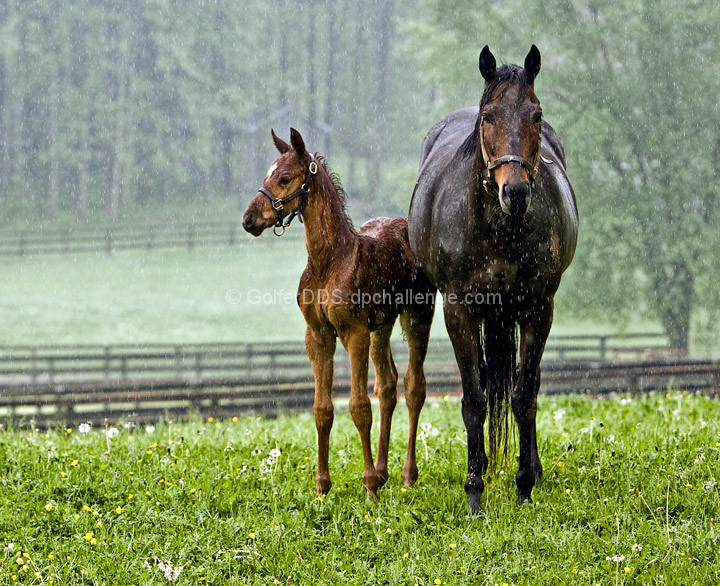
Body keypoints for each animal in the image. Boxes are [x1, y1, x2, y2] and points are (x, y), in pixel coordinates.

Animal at [242, 128, 436, 498]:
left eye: (284, 178)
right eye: (266, 175)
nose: (249, 220)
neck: (329, 261)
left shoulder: (353, 332)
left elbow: (359, 407)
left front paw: (369, 488)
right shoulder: (317, 335)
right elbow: (323, 409)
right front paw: (322, 487)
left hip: (417, 314)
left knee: (414, 386)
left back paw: (407, 474)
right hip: (382, 326)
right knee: (387, 386)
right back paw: (384, 470)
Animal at [408, 45, 576, 508]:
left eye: (536, 114)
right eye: (488, 118)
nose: (514, 192)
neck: (499, 229)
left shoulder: (538, 309)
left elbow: (523, 396)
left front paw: (523, 486)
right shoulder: (460, 312)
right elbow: (474, 401)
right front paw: (474, 494)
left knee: (526, 384)